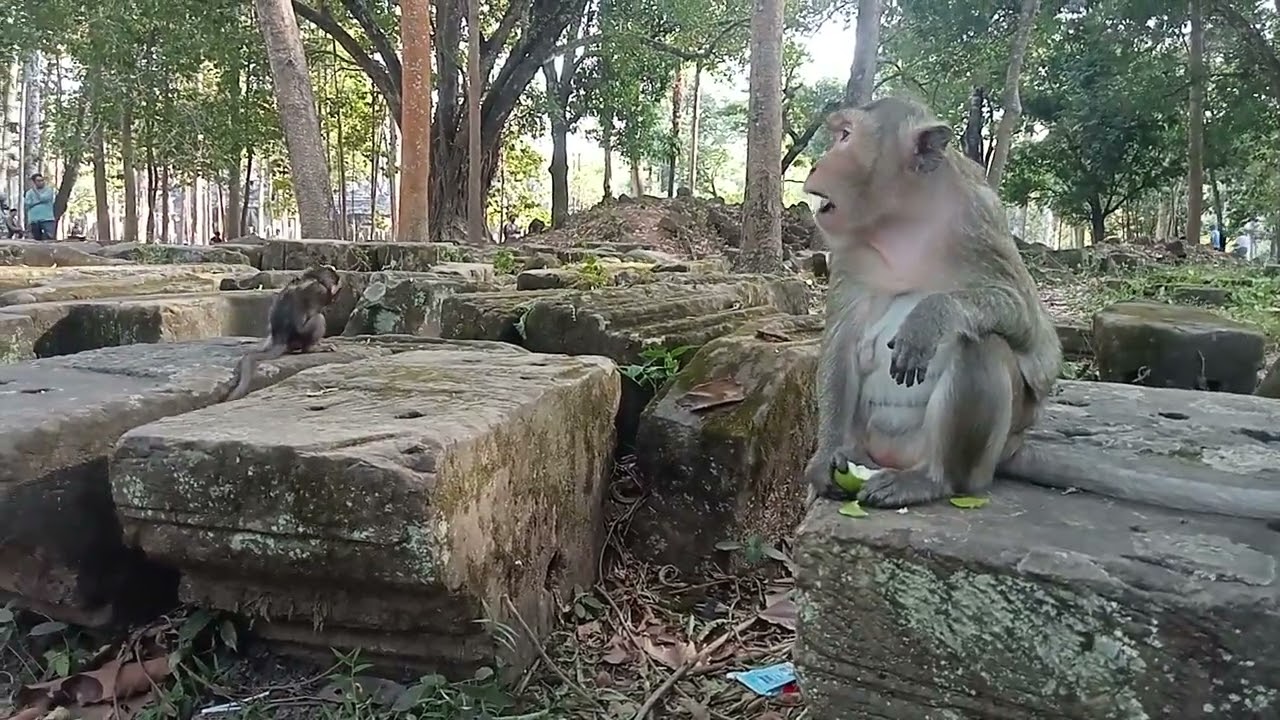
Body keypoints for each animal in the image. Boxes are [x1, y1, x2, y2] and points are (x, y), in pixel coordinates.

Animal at [224, 265, 342, 402]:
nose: (337, 280)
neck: (315, 277)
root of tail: (281, 339)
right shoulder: (318, 290)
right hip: (300, 336)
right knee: (318, 319)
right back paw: (313, 348)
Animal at [801, 97, 1062, 509]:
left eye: (845, 136)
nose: (815, 164)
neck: (905, 217)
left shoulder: (980, 218)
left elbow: (1025, 318)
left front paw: (930, 318)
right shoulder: (847, 249)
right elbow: (841, 342)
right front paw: (823, 459)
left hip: (979, 455)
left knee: (981, 343)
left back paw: (934, 480)